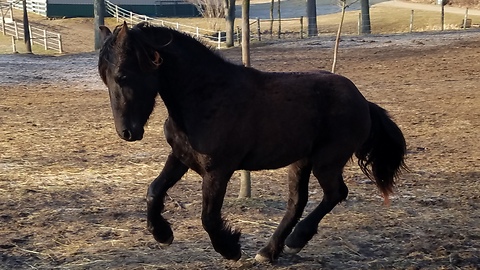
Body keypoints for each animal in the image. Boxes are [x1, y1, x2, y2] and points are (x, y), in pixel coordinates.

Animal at [99, 22, 406, 262]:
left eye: (122, 76)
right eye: (105, 78)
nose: (127, 132)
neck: (206, 96)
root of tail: (363, 101)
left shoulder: (218, 170)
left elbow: (208, 217)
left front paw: (230, 249)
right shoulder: (180, 158)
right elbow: (154, 191)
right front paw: (163, 235)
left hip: (327, 161)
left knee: (334, 194)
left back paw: (294, 242)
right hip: (301, 161)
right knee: (297, 202)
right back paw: (270, 252)